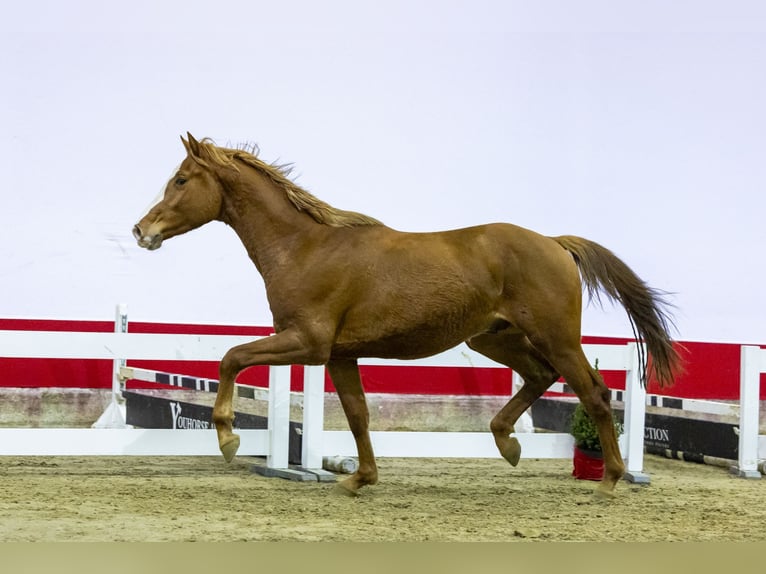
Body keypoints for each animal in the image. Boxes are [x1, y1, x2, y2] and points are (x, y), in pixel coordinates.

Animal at [134, 135, 684, 500]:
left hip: (556, 337)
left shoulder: (307, 342)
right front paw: (359, 477)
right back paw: (507, 443)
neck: (304, 248)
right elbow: (357, 414)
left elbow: (231, 356)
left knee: (593, 392)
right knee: (539, 376)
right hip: (494, 338)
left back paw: (609, 479)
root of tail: (555, 243)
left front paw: (228, 437)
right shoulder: (339, 354)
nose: (142, 231)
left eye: (181, 179)